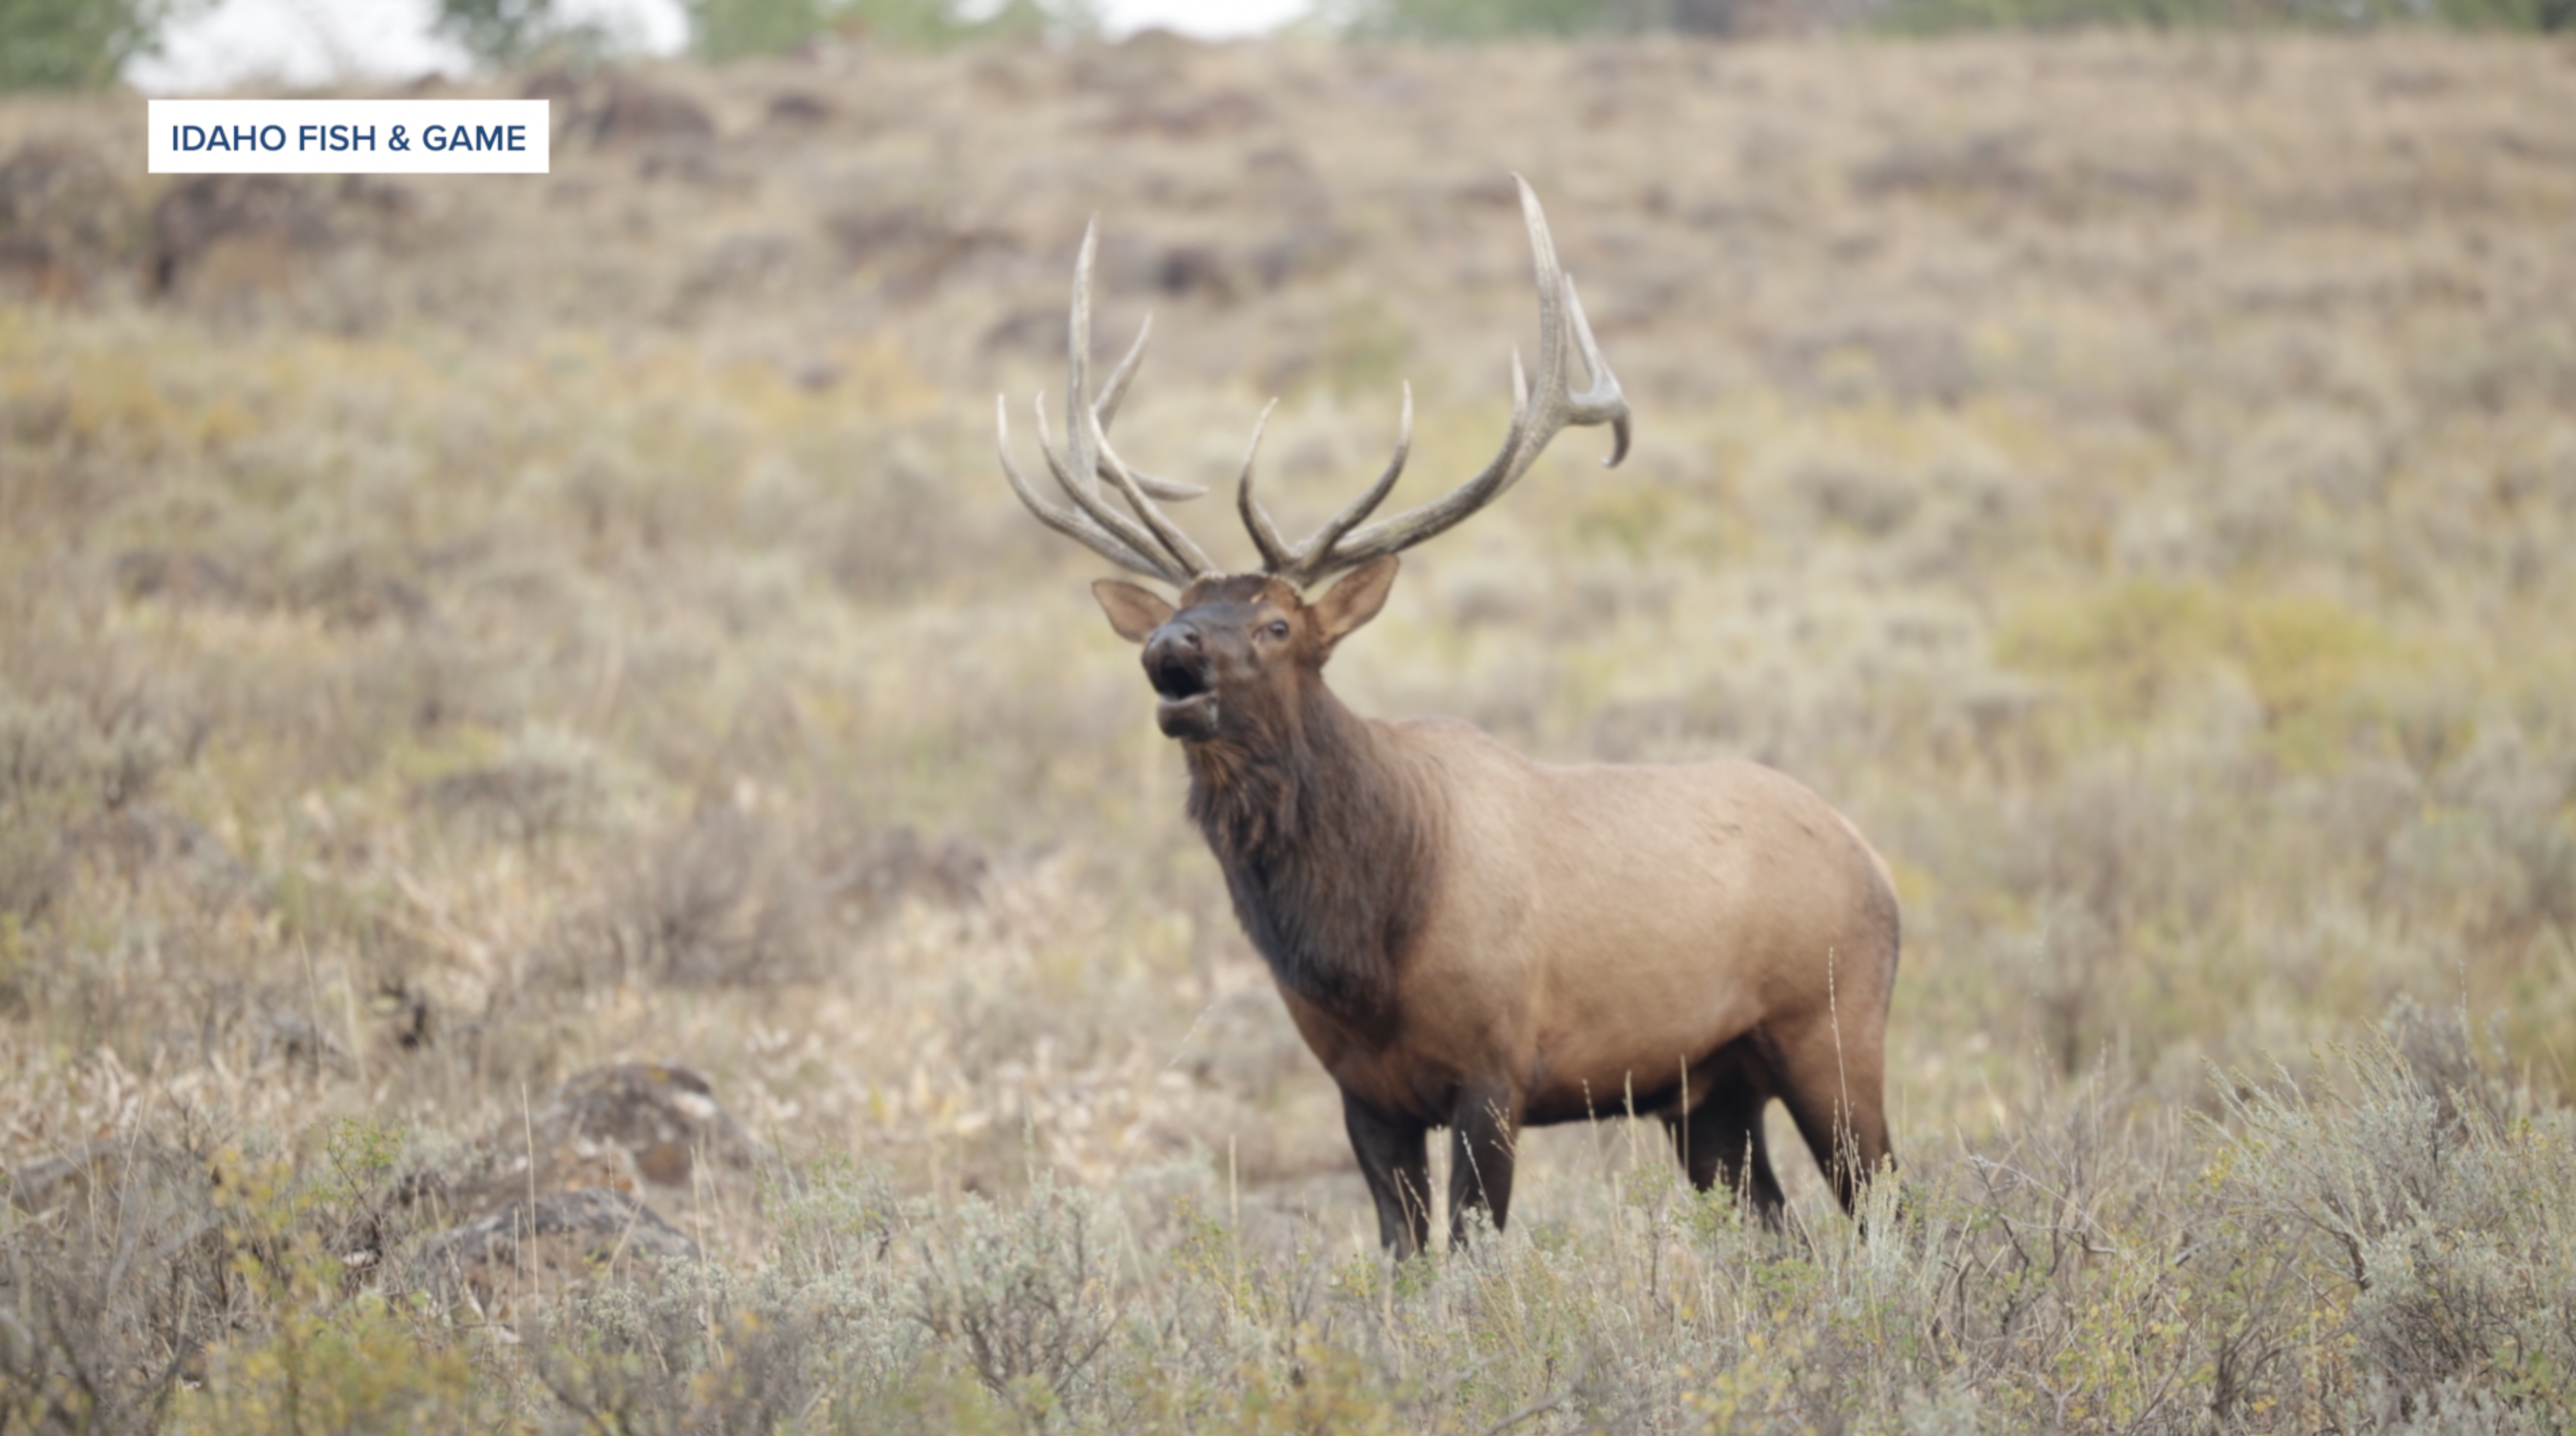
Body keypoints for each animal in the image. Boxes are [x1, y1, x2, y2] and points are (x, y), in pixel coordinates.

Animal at [995, 178, 1900, 1257]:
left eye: (1275, 624)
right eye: (1181, 609)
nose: (1170, 650)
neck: (1361, 946)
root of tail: (1877, 864)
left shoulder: (1495, 1068)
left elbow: (1470, 1251)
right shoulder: (1363, 1093)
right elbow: (1404, 1256)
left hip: (1833, 1028)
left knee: (1885, 1204)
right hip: (1708, 1088)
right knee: (1775, 1228)